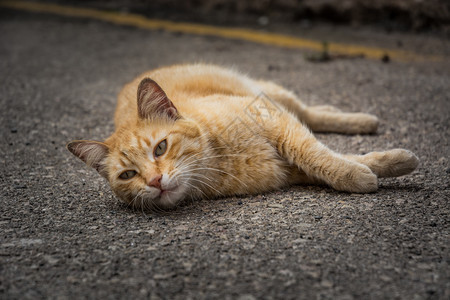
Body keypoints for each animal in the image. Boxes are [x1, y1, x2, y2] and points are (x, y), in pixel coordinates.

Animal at [67, 63, 418, 210]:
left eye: (160, 148)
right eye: (128, 175)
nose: (154, 181)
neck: (219, 162)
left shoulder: (274, 120)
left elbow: (318, 155)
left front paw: (375, 168)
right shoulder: (288, 169)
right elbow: (336, 160)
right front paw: (377, 167)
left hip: (272, 94)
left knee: (308, 113)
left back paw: (361, 120)